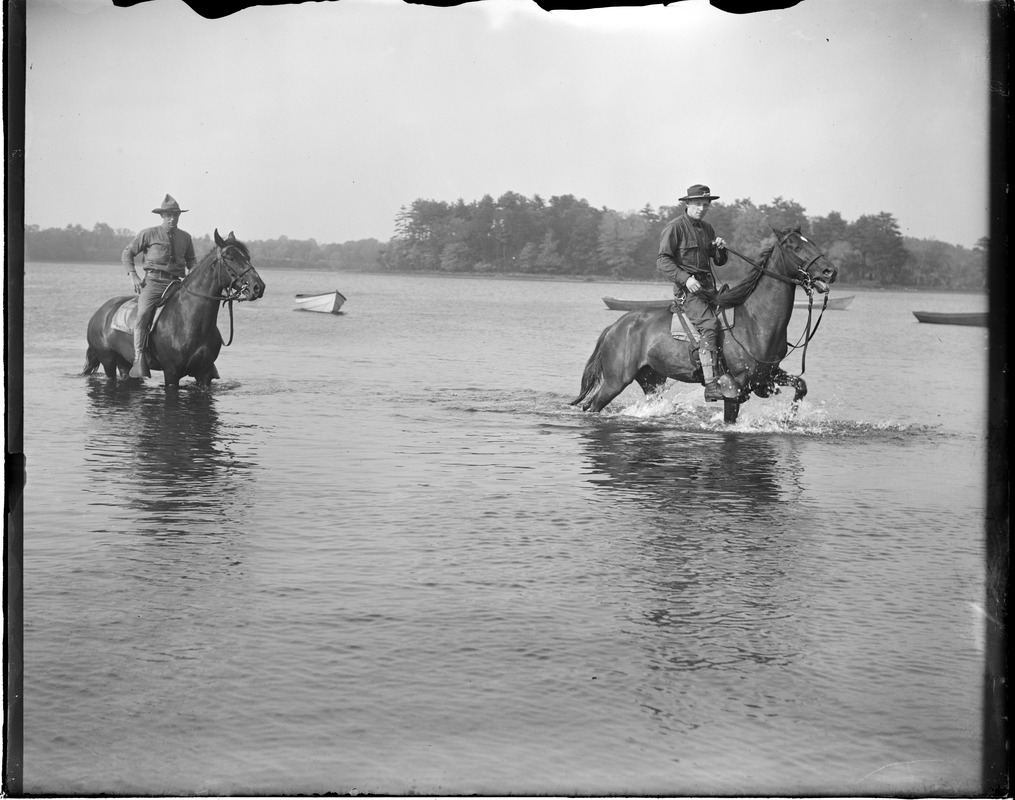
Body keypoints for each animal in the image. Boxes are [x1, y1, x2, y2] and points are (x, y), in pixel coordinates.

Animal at [83, 228, 265, 387]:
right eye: (230, 257)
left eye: (247, 257)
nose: (258, 287)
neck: (189, 321)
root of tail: (99, 313)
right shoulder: (171, 372)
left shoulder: (204, 373)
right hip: (108, 360)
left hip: (124, 363)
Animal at [572, 226, 840, 424]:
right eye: (795, 246)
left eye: (812, 241)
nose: (830, 271)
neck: (755, 323)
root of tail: (615, 327)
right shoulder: (733, 390)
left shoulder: (768, 374)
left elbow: (801, 385)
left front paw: (787, 418)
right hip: (615, 381)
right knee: (591, 406)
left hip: (652, 380)